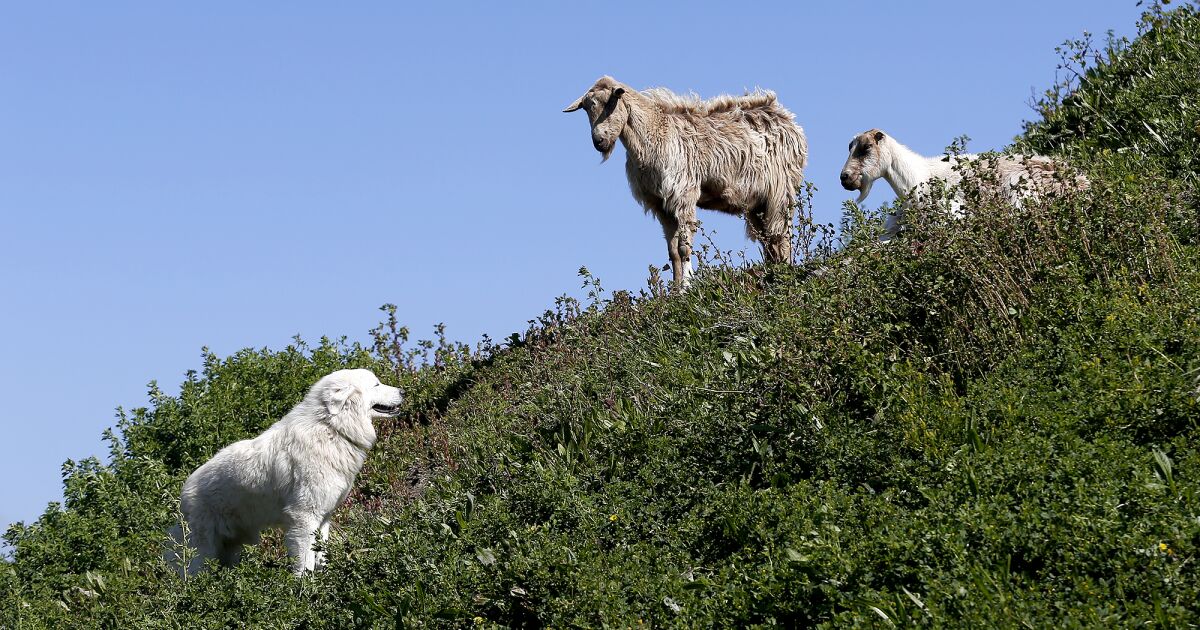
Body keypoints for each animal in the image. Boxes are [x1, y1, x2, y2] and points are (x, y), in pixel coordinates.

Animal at [169, 369, 403, 573]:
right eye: (376, 384)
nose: (403, 391)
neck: (331, 428)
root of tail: (184, 491)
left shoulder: (323, 518)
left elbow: (321, 556)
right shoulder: (304, 517)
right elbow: (305, 562)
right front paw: (305, 589)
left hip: (231, 547)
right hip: (204, 551)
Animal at [566, 75, 811, 286]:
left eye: (611, 102)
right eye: (586, 108)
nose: (599, 141)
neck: (655, 133)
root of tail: (790, 122)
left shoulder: (682, 195)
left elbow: (684, 248)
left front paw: (686, 285)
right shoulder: (661, 205)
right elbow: (673, 251)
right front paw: (675, 290)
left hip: (781, 193)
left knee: (781, 235)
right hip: (758, 203)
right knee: (769, 240)